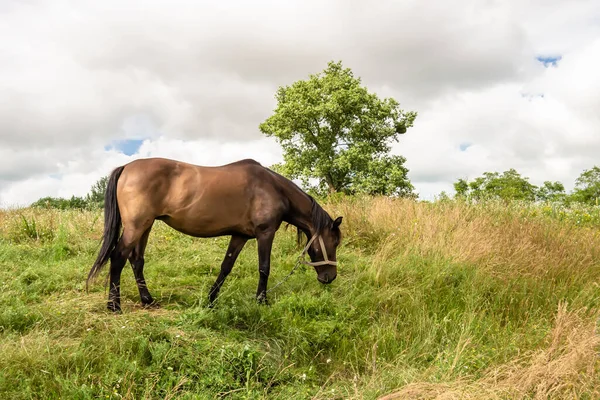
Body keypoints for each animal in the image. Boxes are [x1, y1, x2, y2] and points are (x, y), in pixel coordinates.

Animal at [86, 157, 344, 312]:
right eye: (334, 242)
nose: (329, 278)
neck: (273, 189)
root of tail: (127, 167)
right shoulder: (265, 233)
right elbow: (264, 268)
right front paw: (262, 300)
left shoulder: (240, 236)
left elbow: (226, 267)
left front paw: (211, 299)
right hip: (136, 226)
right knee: (118, 257)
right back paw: (114, 305)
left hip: (145, 227)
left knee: (136, 260)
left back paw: (147, 300)